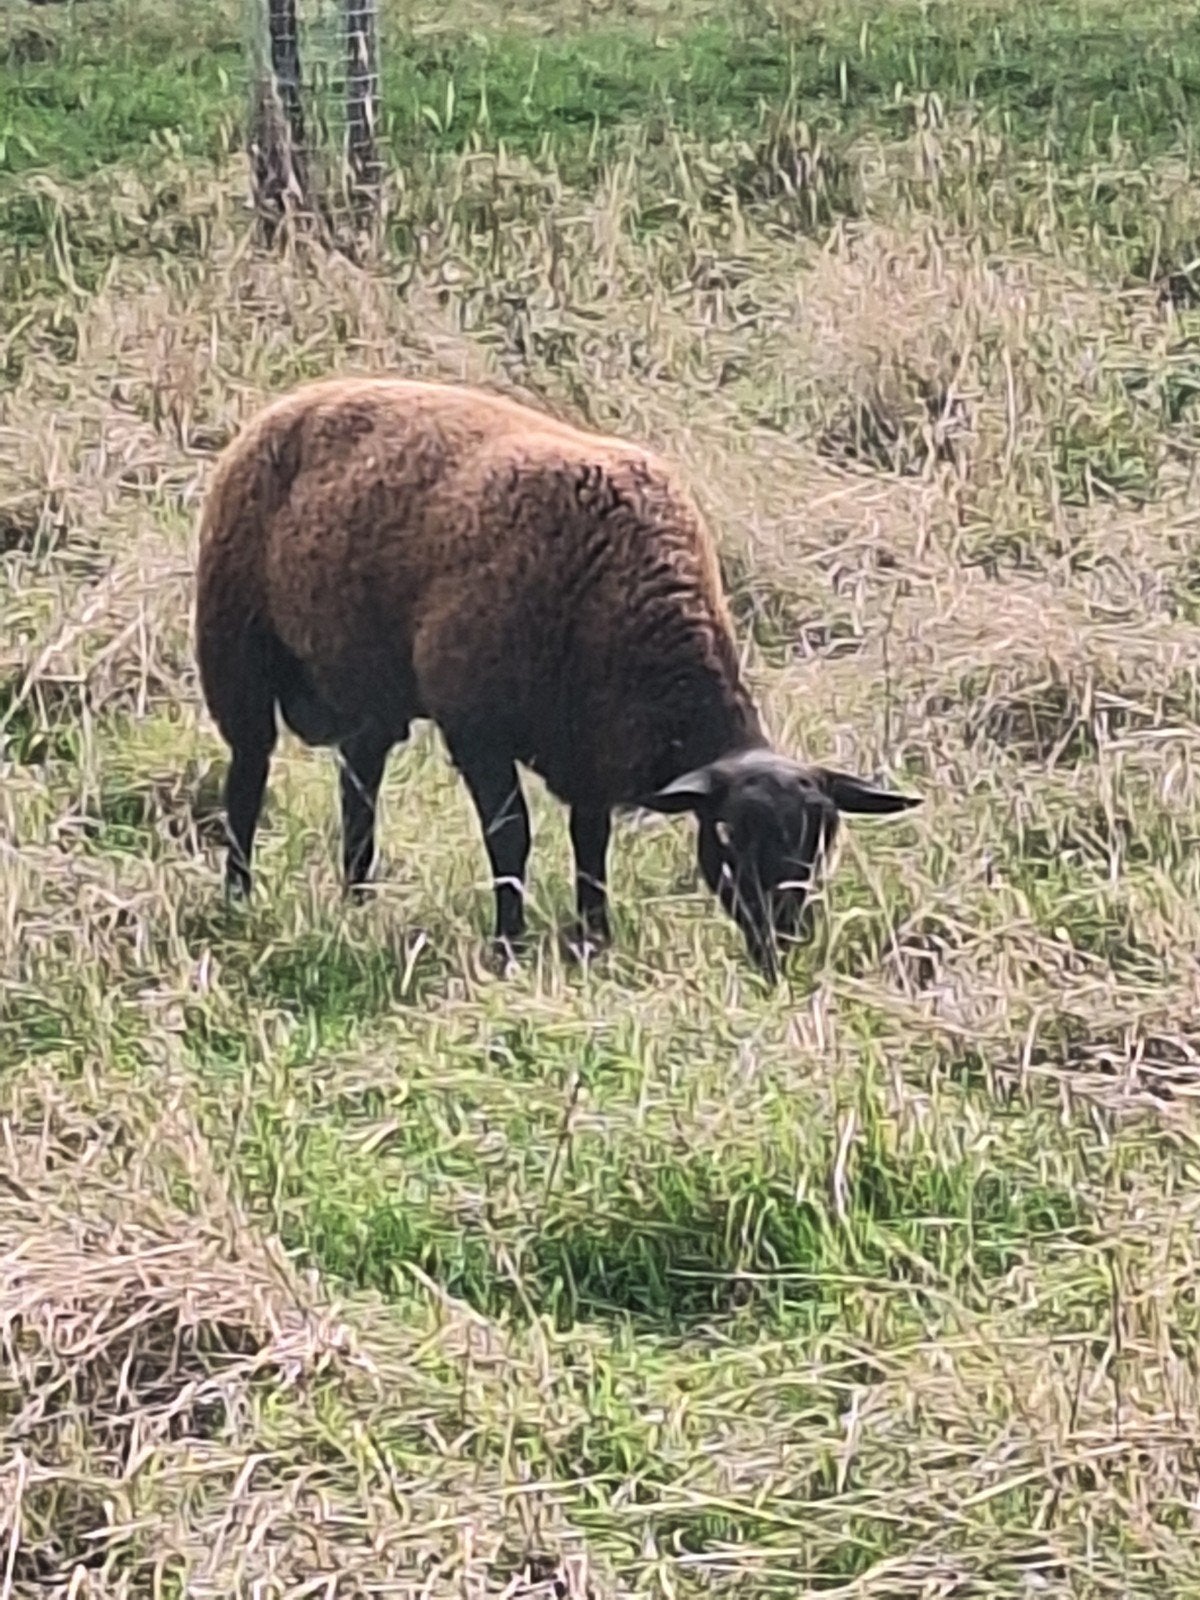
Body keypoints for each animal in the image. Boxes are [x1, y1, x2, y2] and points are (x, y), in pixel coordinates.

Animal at [194, 375, 919, 980]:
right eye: (726, 836)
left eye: (820, 844)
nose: (776, 950)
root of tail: (295, 399)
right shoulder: (477, 728)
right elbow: (510, 837)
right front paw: (509, 946)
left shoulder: (593, 747)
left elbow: (590, 848)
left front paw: (595, 940)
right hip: (234, 649)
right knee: (247, 779)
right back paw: (238, 897)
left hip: (371, 692)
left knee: (358, 786)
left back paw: (357, 901)